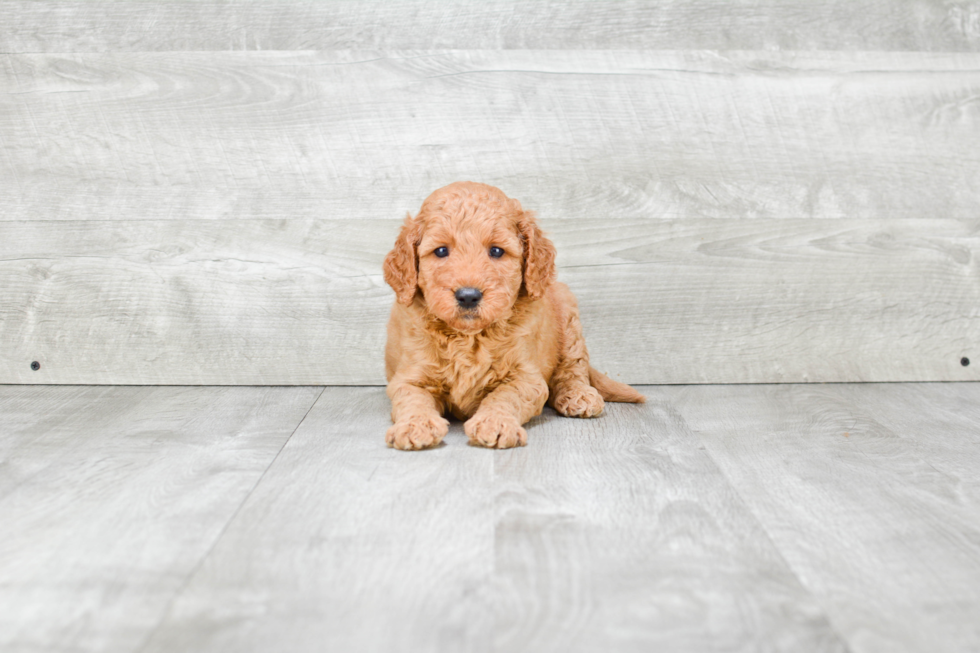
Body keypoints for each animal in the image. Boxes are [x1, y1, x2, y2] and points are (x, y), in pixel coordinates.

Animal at [380, 181, 644, 450]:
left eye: (497, 251)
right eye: (441, 251)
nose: (468, 296)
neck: (470, 338)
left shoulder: (526, 378)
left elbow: (505, 396)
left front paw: (495, 423)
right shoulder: (410, 376)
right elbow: (412, 398)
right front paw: (415, 425)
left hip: (568, 314)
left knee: (573, 366)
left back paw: (579, 395)